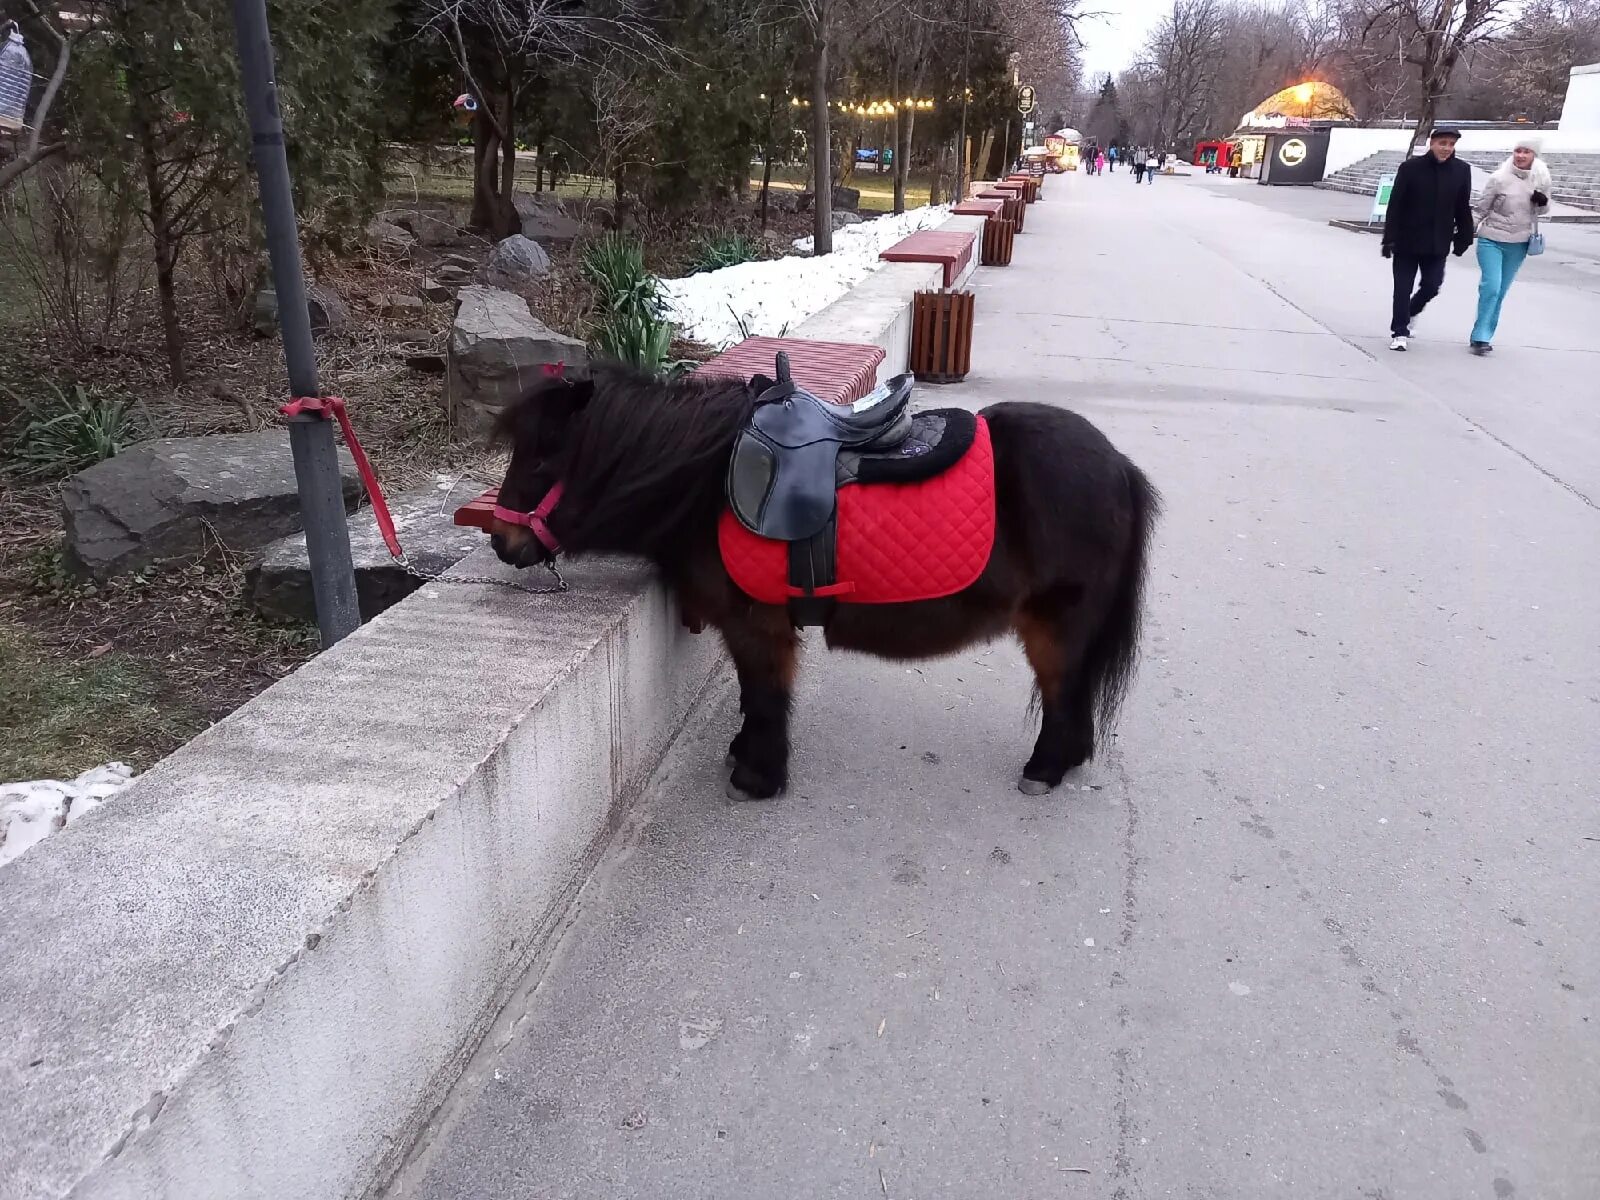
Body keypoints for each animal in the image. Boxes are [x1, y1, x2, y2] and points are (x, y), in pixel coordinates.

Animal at [492, 366, 1158, 800]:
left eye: (542, 460)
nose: (502, 542)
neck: (707, 484)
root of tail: (1119, 466)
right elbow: (752, 695)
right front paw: (745, 754)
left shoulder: (756, 624)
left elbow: (765, 694)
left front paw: (757, 776)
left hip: (1057, 624)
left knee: (1063, 692)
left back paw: (1045, 769)